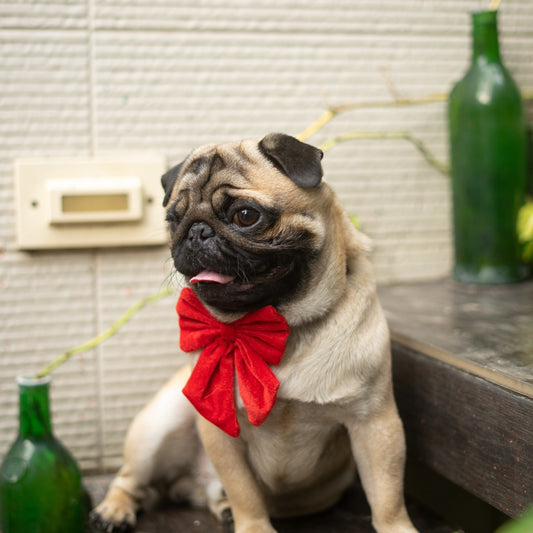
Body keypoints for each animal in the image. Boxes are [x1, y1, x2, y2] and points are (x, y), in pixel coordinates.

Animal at [90, 133, 416, 532]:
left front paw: (397, 528)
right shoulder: (220, 431)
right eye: (173, 219)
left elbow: (387, 496)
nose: (195, 231)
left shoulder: (375, 424)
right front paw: (253, 526)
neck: (279, 324)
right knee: (130, 478)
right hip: (157, 424)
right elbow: (244, 491)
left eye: (245, 215)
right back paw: (114, 510)